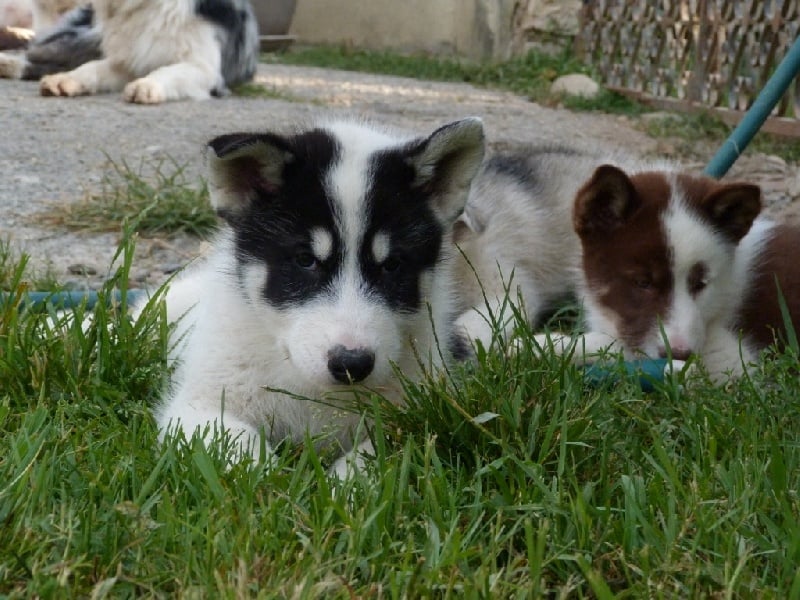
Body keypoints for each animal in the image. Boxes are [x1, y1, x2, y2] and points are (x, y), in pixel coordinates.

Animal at [25, 0, 259, 102]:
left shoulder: (207, 70)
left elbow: (170, 70)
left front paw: (148, 85)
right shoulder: (128, 61)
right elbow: (92, 67)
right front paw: (66, 79)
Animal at [146, 118, 485, 475]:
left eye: (392, 265)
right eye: (305, 260)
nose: (352, 364)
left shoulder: (422, 413)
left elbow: (384, 448)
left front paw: (344, 482)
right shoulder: (198, 406)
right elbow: (242, 448)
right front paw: (270, 480)